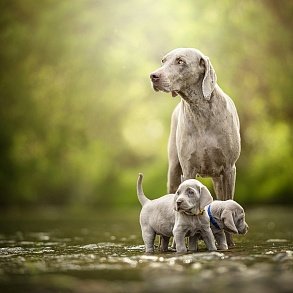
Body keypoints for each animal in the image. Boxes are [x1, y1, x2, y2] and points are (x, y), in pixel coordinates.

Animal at [149, 48, 241, 246]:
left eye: (180, 61)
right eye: (163, 61)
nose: (153, 76)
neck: (200, 110)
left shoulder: (230, 168)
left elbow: (227, 200)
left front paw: (229, 243)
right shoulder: (188, 169)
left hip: (218, 176)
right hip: (173, 169)